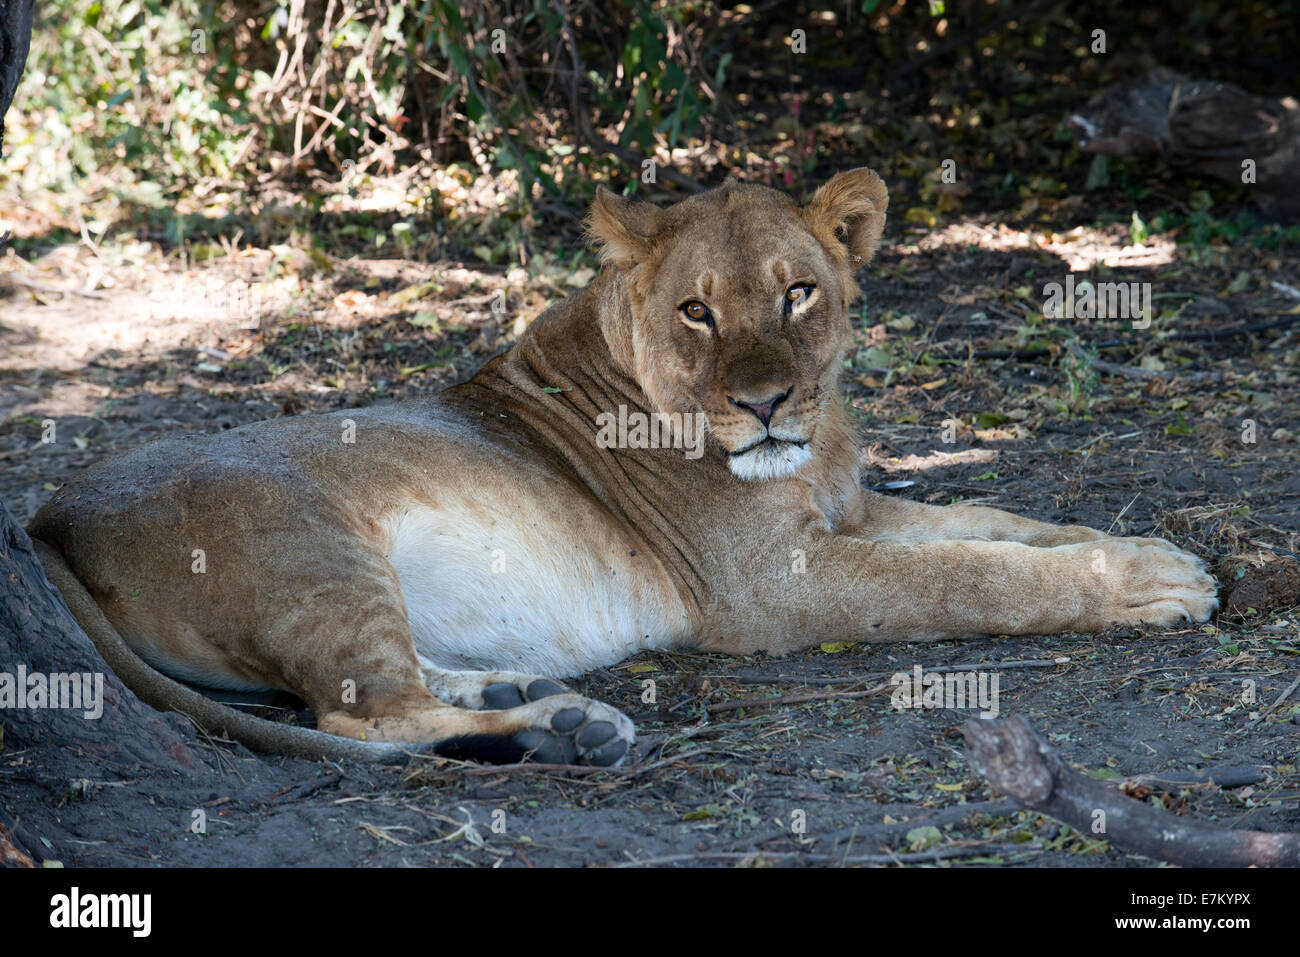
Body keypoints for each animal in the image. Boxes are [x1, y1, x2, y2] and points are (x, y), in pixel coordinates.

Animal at [32, 170, 1227, 769]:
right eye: (696, 309)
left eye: (798, 291)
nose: (763, 403)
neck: (819, 448)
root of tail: (46, 520)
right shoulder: (774, 587)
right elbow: (977, 577)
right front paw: (1151, 586)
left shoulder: (846, 514)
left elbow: (999, 519)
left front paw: (1145, 550)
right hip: (315, 550)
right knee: (363, 717)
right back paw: (564, 732)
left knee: (385, 684)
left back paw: (528, 695)